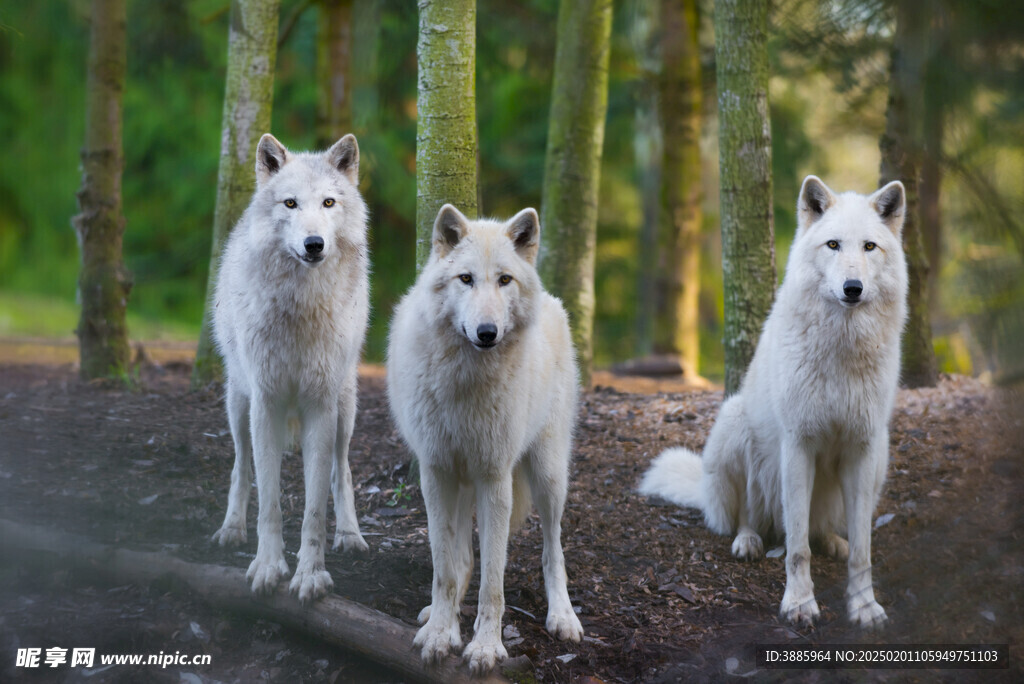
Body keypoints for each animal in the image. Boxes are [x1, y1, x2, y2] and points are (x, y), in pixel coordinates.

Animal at [209, 133, 370, 602]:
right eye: (291, 204)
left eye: (329, 203)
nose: (314, 243)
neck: (302, 308)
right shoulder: (267, 404)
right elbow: (270, 502)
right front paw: (267, 566)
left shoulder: (320, 407)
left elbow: (315, 507)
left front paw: (311, 575)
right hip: (238, 406)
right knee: (241, 467)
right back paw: (231, 528)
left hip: (345, 411)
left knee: (342, 471)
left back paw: (351, 535)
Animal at [387, 202, 585, 671]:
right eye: (466, 279)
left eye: (504, 280)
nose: (487, 332)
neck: (465, 380)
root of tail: (552, 301)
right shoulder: (437, 473)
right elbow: (444, 569)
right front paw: (439, 635)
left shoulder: (494, 478)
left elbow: (493, 580)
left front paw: (486, 647)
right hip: (463, 483)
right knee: (461, 558)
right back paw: (439, 616)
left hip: (548, 475)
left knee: (553, 551)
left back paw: (563, 616)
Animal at [638, 174, 913, 626]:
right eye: (833, 245)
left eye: (869, 247)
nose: (852, 288)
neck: (841, 349)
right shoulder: (798, 444)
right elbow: (797, 549)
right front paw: (799, 604)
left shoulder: (863, 447)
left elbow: (863, 550)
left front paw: (863, 606)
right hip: (737, 428)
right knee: (749, 516)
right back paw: (748, 541)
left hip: (881, 458)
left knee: (822, 529)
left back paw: (832, 540)